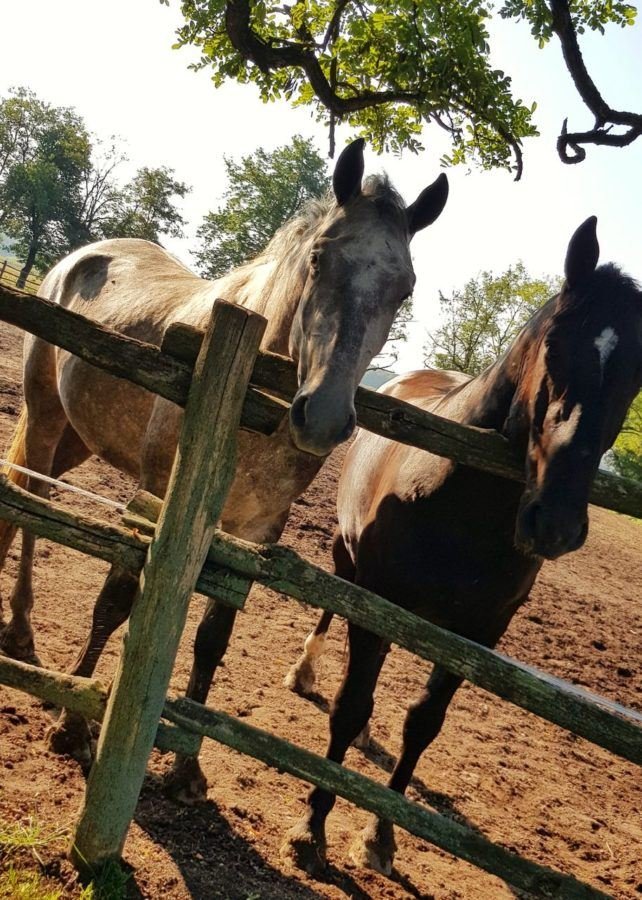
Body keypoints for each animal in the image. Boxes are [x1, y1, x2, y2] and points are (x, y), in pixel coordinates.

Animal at [282, 216, 640, 872]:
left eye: (637, 371)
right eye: (554, 344)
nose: (555, 522)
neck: (457, 492)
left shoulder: (477, 634)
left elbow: (423, 724)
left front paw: (380, 836)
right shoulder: (379, 599)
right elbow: (350, 704)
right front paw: (312, 825)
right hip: (350, 564)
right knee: (332, 613)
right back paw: (305, 672)